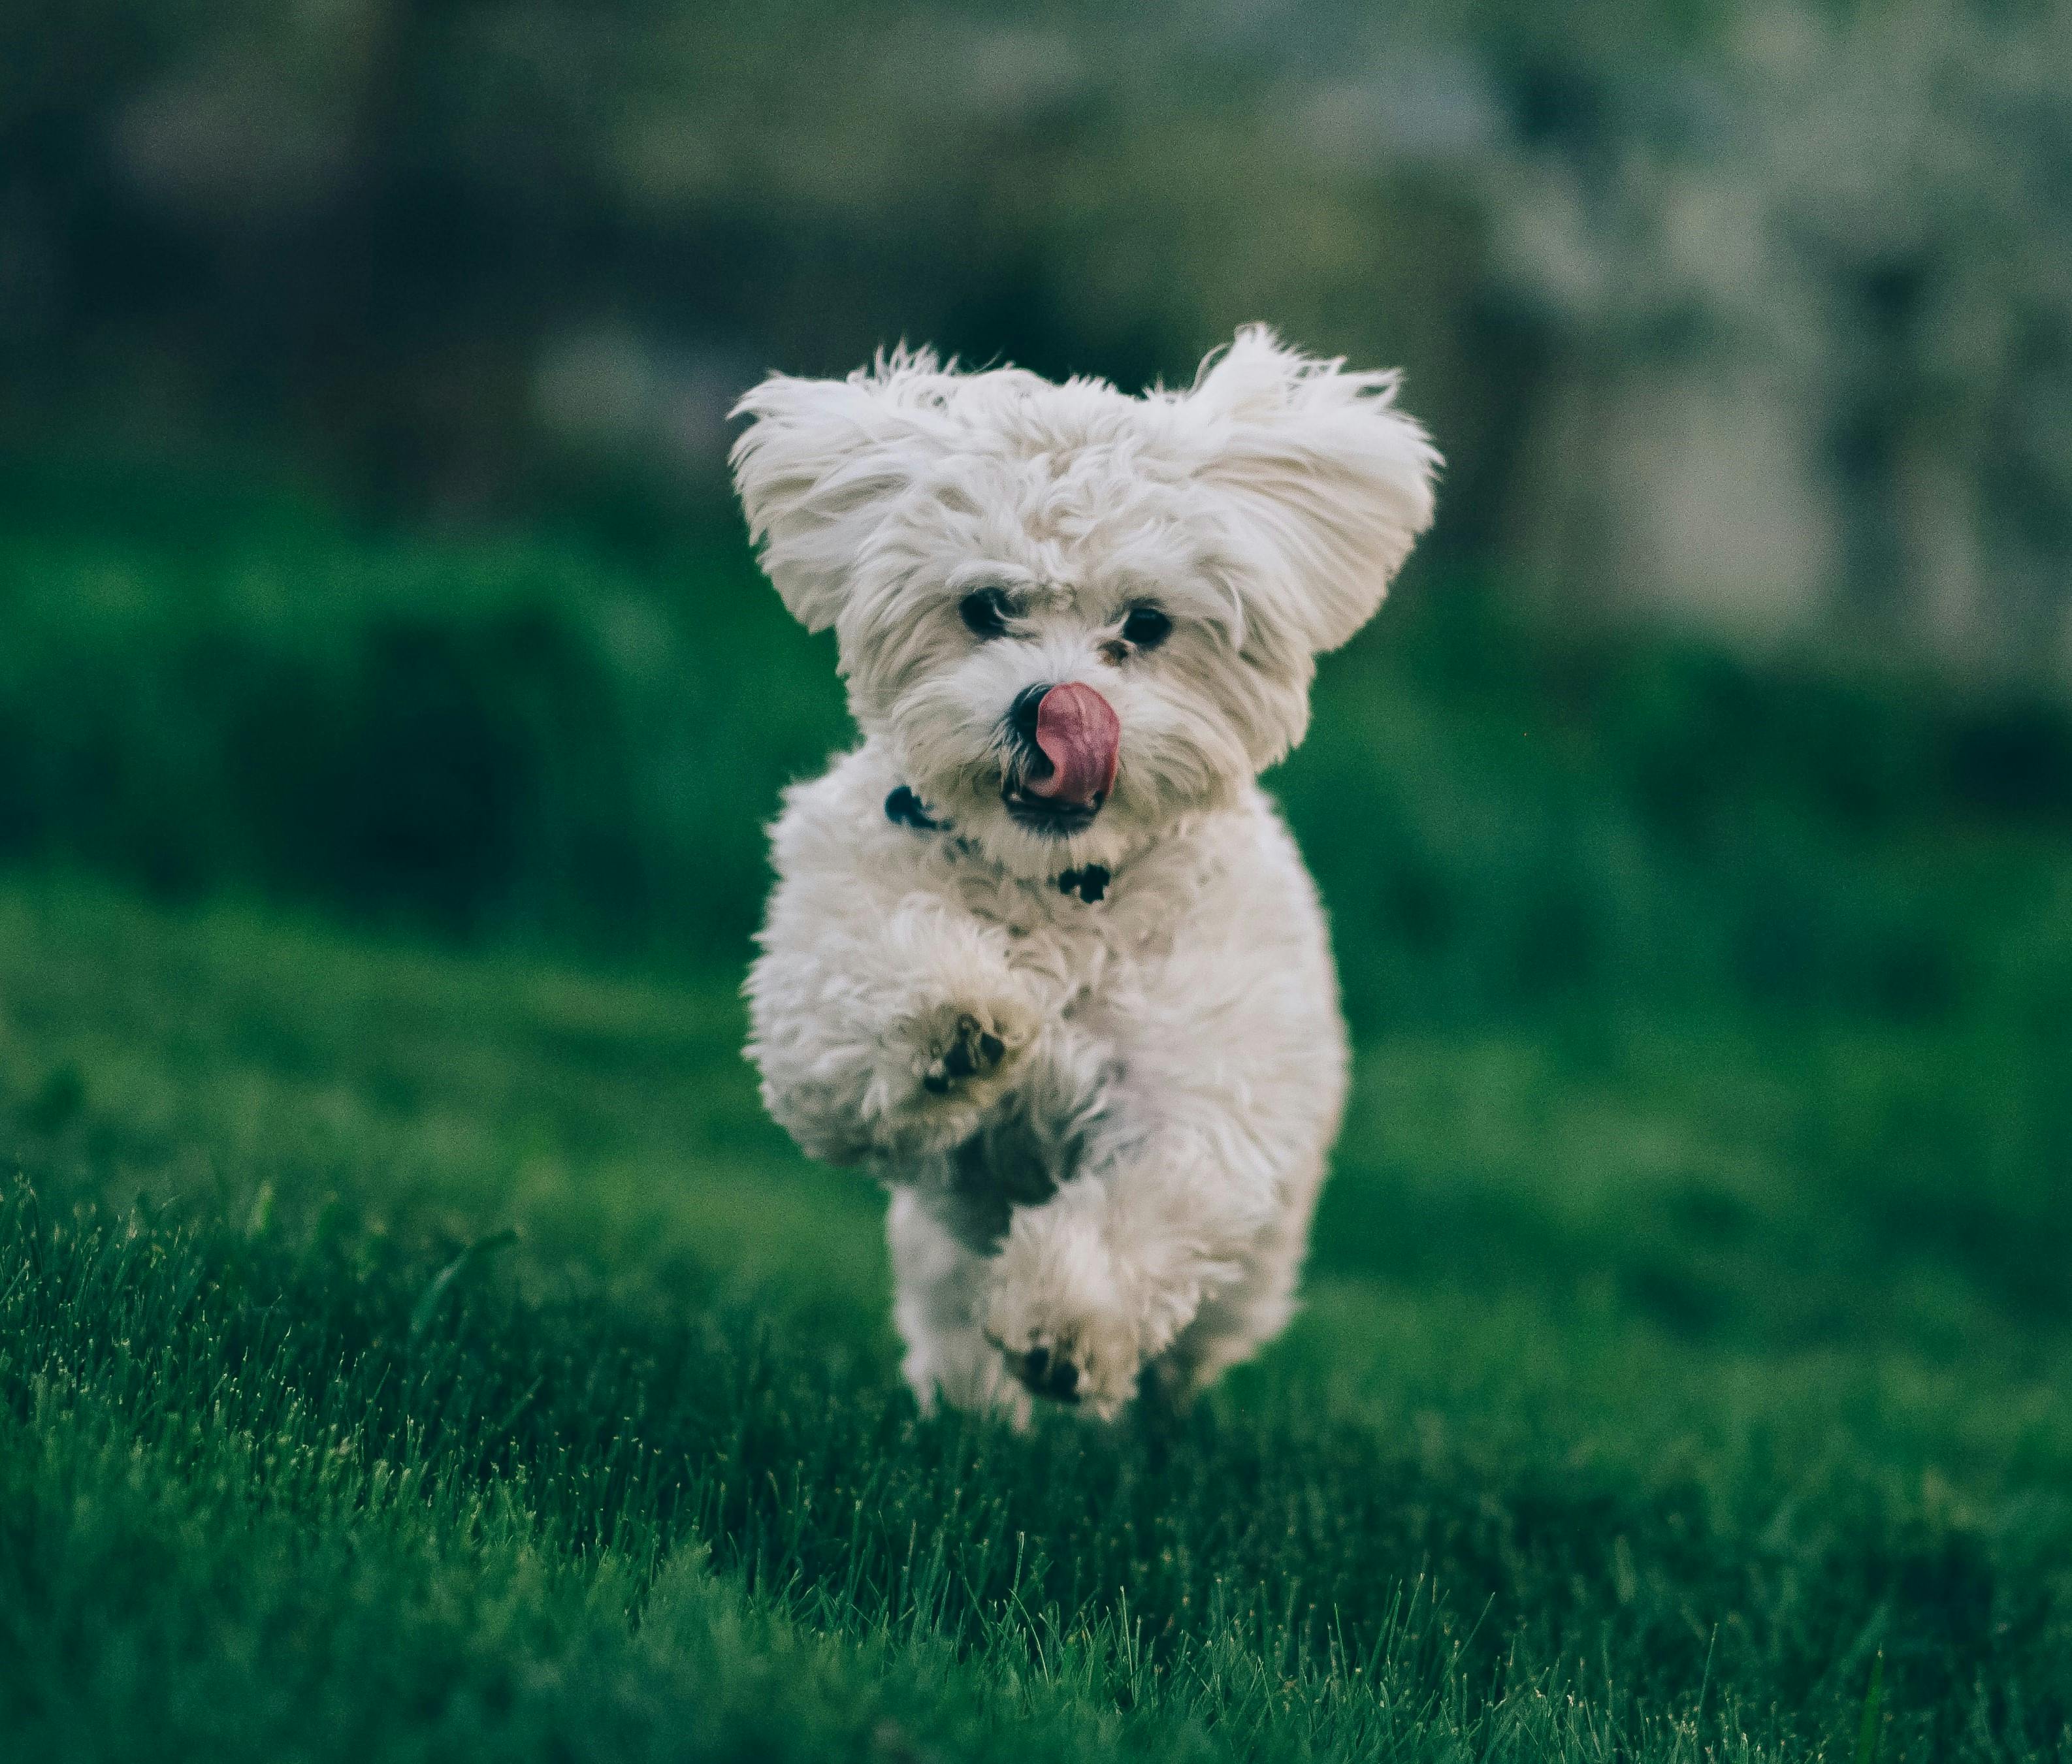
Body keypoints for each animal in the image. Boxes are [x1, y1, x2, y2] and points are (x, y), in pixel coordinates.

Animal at [733, 331, 1442, 1424]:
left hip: (1250, 1279)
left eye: (1144, 627)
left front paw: (1065, 1326)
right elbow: (860, 1002)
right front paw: (959, 1021)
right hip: (938, 1260)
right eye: (986, 608)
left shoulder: (1199, 1094)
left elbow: (1146, 1207)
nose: (1054, 707)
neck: (1058, 888)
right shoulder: (818, 979)